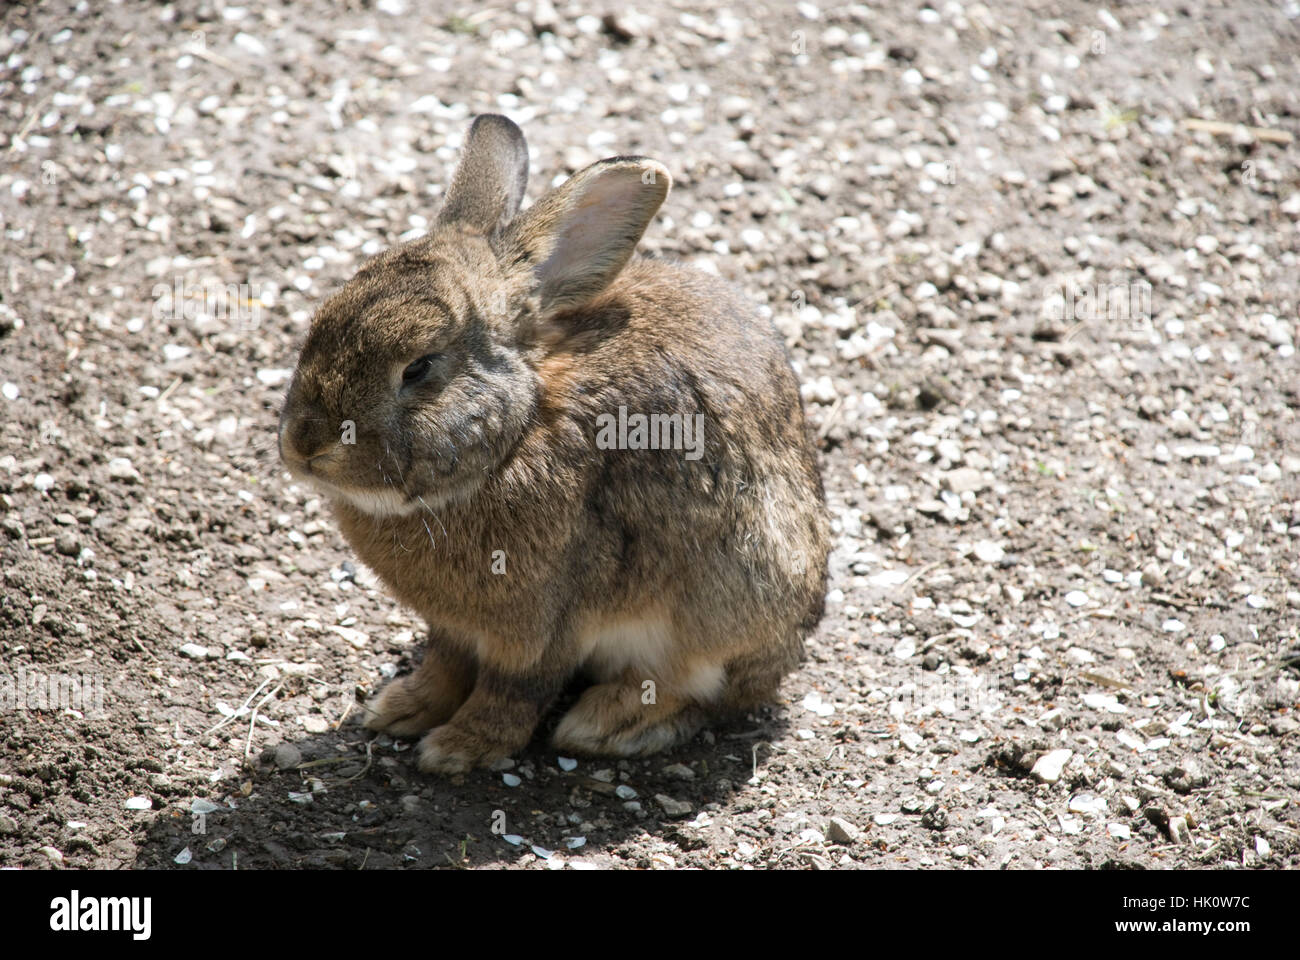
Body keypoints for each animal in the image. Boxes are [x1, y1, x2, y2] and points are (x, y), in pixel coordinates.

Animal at [278, 114, 830, 774]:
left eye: (419, 367)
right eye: (316, 324)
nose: (304, 444)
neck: (514, 438)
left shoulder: (543, 623)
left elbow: (515, 689)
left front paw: (459, 749)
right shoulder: (453, 627)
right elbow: (445, 665)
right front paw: (401, 710)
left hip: (731, 596)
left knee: (699, 689)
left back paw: (608, 723)